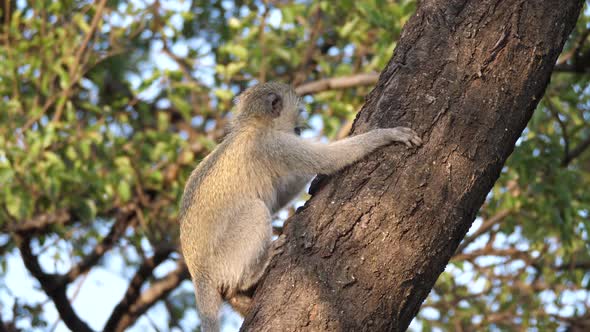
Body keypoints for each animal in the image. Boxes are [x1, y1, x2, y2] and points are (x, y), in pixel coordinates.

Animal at [178, 81, 424, 332]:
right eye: (299, 113)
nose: (299, 130)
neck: (254, 125)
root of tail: (199, 275)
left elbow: (284, 191)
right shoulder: (276, 145)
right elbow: (328, 159)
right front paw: (385, 134)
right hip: (225, 257)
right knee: (256, 210)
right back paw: (254, 272)